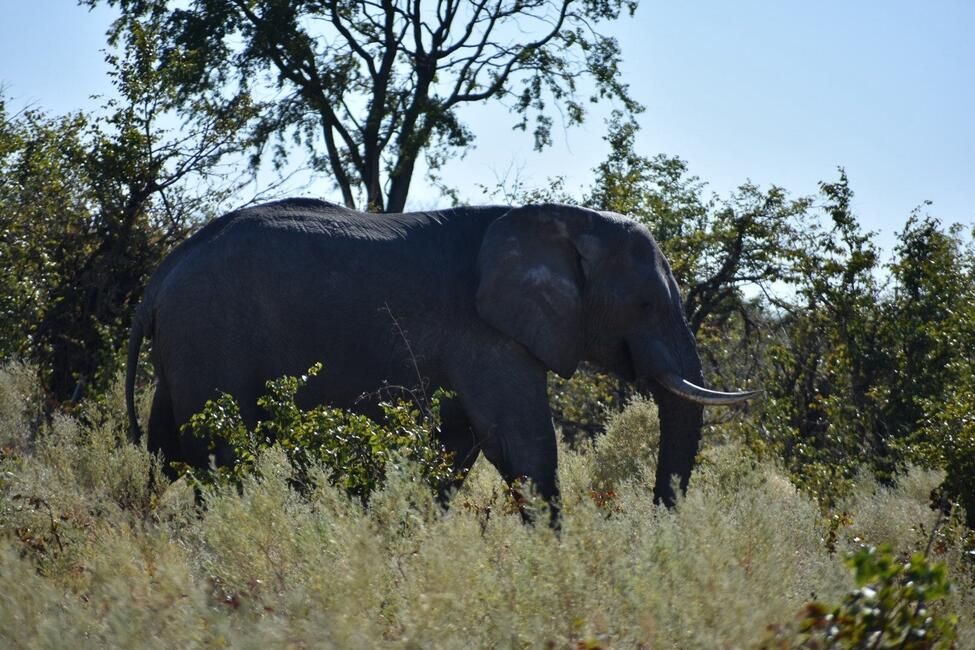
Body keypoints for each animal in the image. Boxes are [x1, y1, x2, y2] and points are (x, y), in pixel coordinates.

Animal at [125, 199, 757, 520]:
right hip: (211, 333)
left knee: (167, 450)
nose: (654, 524)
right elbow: (522, 442)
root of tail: (160, 275)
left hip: (185, 344)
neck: (565, 222)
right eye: (645, 304)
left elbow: (457, 449)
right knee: (221, 453)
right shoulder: (484, 331)